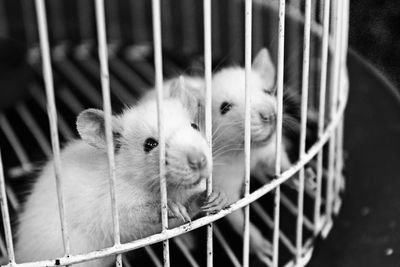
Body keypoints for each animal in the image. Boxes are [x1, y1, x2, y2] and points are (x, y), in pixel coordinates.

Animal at [15, 81, 214, 267]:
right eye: (149, 144)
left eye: (194, 126)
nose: (199, 161)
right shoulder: (114, 210)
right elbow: (138, 214)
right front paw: (171, 207)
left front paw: (209, 196)